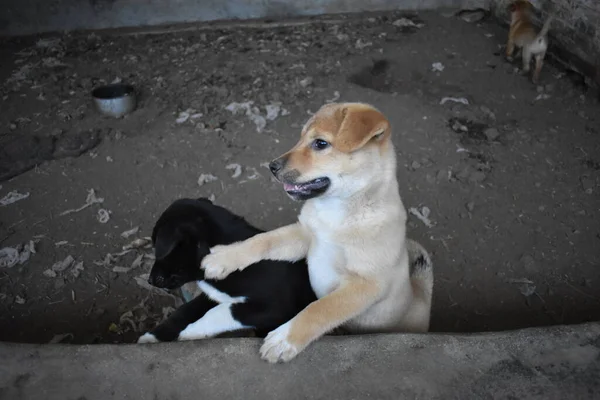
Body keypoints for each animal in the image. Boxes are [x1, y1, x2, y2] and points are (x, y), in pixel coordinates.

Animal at [136, 198, 314, 342]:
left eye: (159, 249)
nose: (149, 280)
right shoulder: (213, 296)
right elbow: (184, 311)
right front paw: (152, 337)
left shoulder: (275, 307)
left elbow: (222, 311)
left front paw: (190, 332)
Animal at [200, 102, 432, 362]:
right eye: (300, 138)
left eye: (320, 143)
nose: (271, 167)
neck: (337, 212)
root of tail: (420, 296)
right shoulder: (305, 236)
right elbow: (263, 240)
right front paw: (224, 258)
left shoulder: (366, 284)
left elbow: (320, 309)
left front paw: (284, 339)